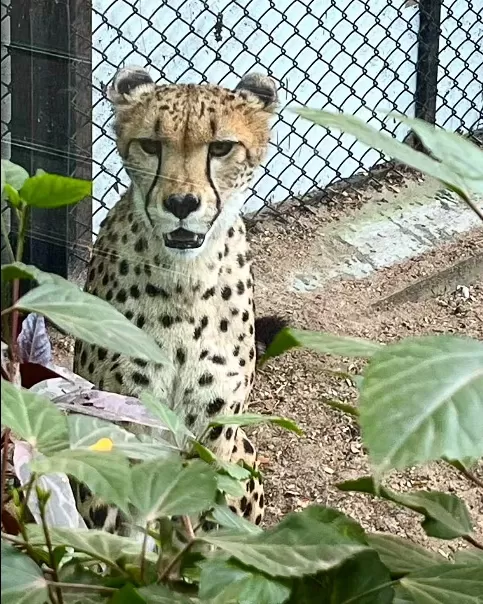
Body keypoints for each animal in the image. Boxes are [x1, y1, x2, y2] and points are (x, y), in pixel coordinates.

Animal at [72, 65, 284, 528]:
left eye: (221, 147)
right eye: (151, 145)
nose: (182, 202)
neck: (186, 280)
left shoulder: (214, 437)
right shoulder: (120, 426)